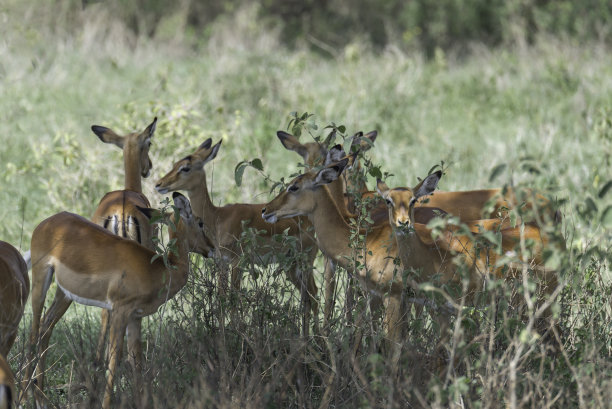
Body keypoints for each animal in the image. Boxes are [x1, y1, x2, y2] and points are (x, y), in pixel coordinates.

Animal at [21, 192, 210, 408]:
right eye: (200, 222)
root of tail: (48, 221)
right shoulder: (120, 311)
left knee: (46, 327)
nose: (211, 248)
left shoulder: (135, 316)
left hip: (64, 294)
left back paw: (40, 397)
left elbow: (136, 359)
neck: (159, 268)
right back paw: (25, 396)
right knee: (33, 331)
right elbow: (113, 359)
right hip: (40, 279)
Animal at [155, 140, 320, 334]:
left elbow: (233, 299)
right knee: (307, 298)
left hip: (305, 262)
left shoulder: (237, 261)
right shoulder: (221, 262)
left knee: (314, 295)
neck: (217, 217)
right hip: (291, 267)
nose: (159, 184)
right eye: (175, 164)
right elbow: (221, 298)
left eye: (185, 167)